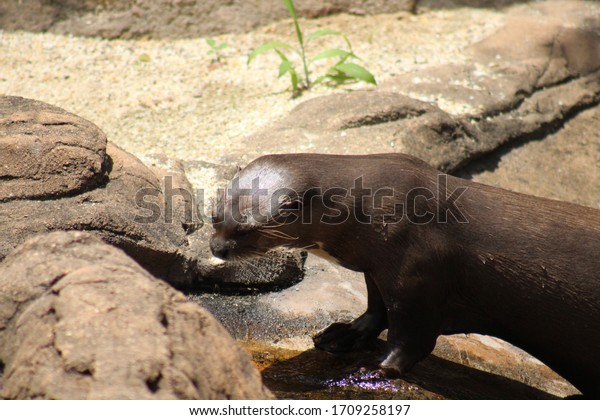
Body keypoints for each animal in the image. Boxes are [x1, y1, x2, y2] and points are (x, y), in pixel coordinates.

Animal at [210, 153, 600, 396]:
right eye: (214, 216)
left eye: (246, 230)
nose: (217, 247)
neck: (374, 207)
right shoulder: (378, 267)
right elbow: (375, 310)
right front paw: (343, 335)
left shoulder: (416, 273)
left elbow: (412, 338)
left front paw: (373, 370)